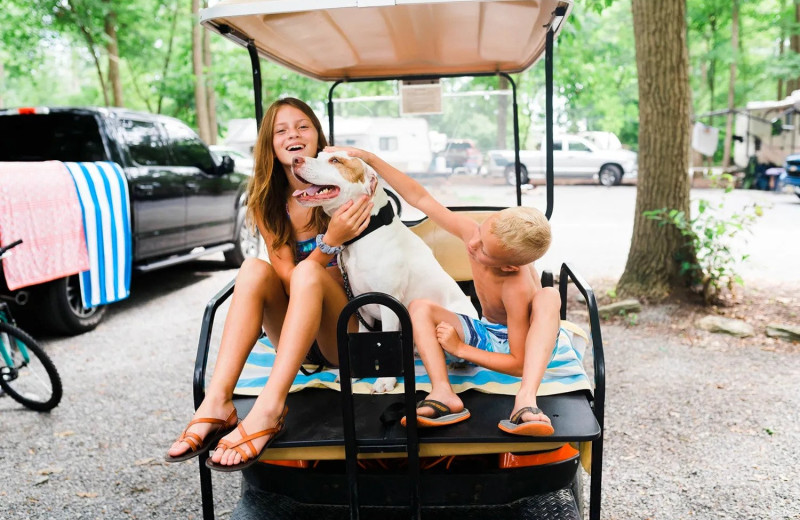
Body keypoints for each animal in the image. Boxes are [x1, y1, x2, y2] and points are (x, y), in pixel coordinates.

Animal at [296, 150, 482, 390]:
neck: (365, 233)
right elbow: (364, 336)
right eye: (318, 155)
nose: (295, 160)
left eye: (336, 160)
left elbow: (386, 339)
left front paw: (385, 380)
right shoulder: (361, 305)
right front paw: (356, 374)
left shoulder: (389, 302)